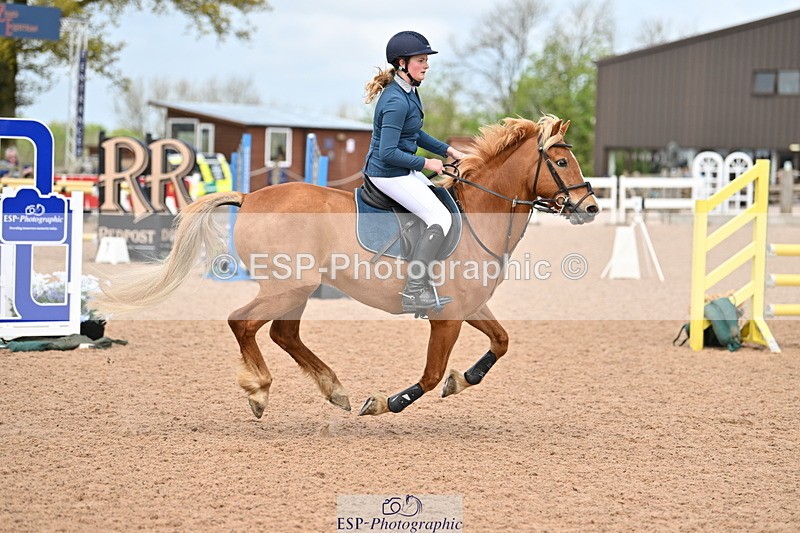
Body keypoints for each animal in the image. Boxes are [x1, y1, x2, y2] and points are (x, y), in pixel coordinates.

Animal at [100, 115, 599, 419]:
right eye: (560, 161)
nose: (590, 207)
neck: (479, 214)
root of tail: (250, 196)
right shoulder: (447, 316)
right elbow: (430, 374)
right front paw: (386, 402)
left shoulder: (469, 307)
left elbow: (501, 341)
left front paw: (463, 380)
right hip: (288, 285)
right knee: (243, 323)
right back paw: (260, 389)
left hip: (296, 290)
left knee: (283, 334)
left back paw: (333, 389)